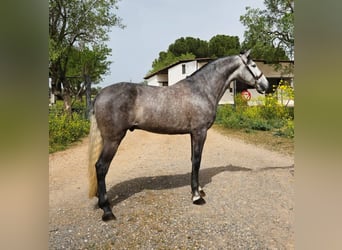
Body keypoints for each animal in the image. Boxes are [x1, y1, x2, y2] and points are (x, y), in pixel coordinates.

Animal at [87, 49, 268, 221]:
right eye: (253, 65)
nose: (265, 85)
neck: (202, 90)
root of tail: (100, 95)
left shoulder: (193, 133)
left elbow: (193, 160)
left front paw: (199, 190)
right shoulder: (200, 132)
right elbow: (197, 161)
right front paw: (196, 197)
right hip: (113, 139)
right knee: (101, 167)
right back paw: (107, 210)